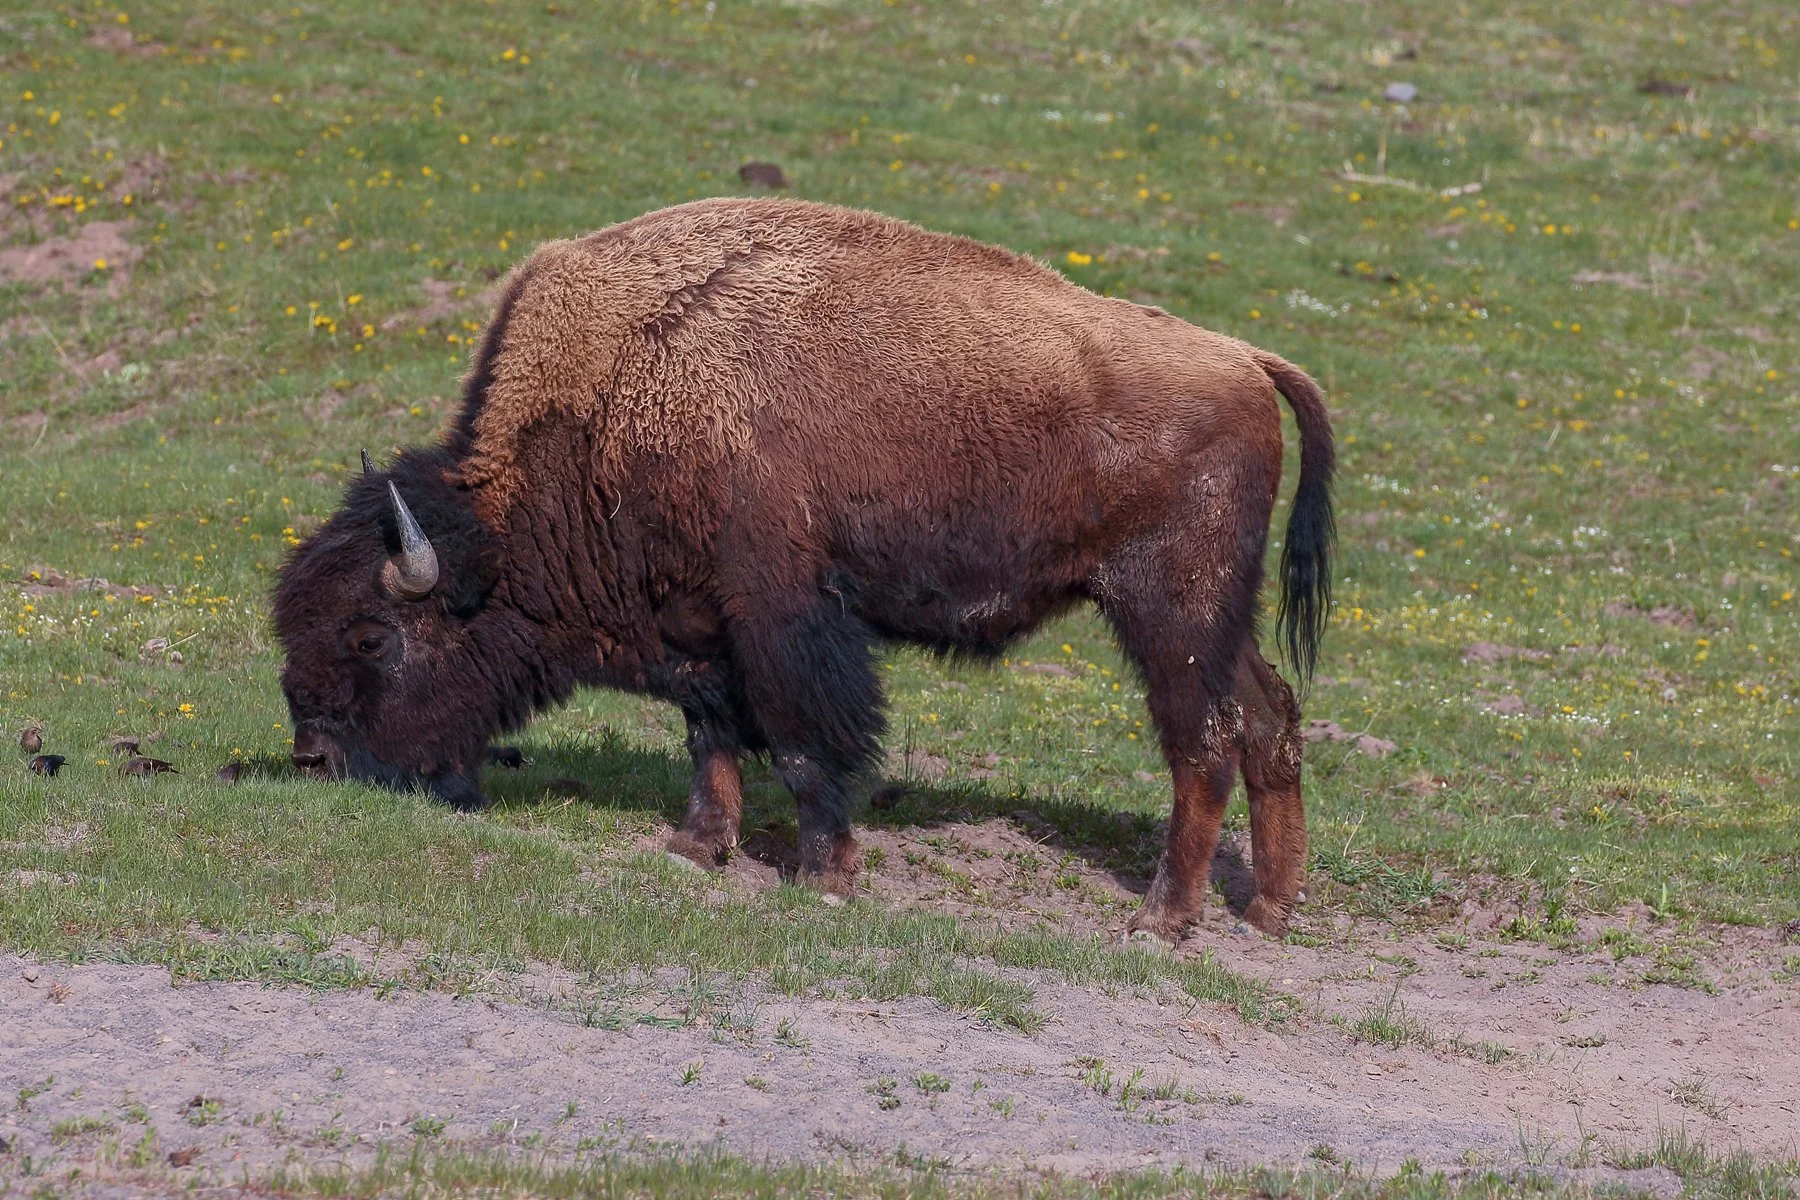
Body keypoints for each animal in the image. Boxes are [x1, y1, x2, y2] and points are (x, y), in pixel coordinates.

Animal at [274, 198, 1334, 943]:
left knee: (1202, 744)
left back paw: (1161, 921)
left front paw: (826, 876)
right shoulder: (693, 622)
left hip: (1167, 610)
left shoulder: (782, 613)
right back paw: (1268, 910)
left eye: (370, 636)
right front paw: (697, 847)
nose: (313, 760)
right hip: (1211, 616)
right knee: (1270, 718)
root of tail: (1247, 358)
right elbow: (709, 732)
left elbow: (800, 741)